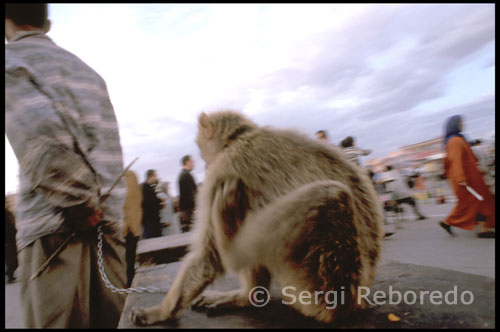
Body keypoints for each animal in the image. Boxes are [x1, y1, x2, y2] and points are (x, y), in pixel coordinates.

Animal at [131, 110, 384, 326]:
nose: (204, 162)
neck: (240, 137)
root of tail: (356, 299)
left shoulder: (219, 174)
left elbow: (207, 257)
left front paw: (161, 312)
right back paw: (248, 297)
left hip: (318, 280)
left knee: (331, 196)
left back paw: (230, 244)